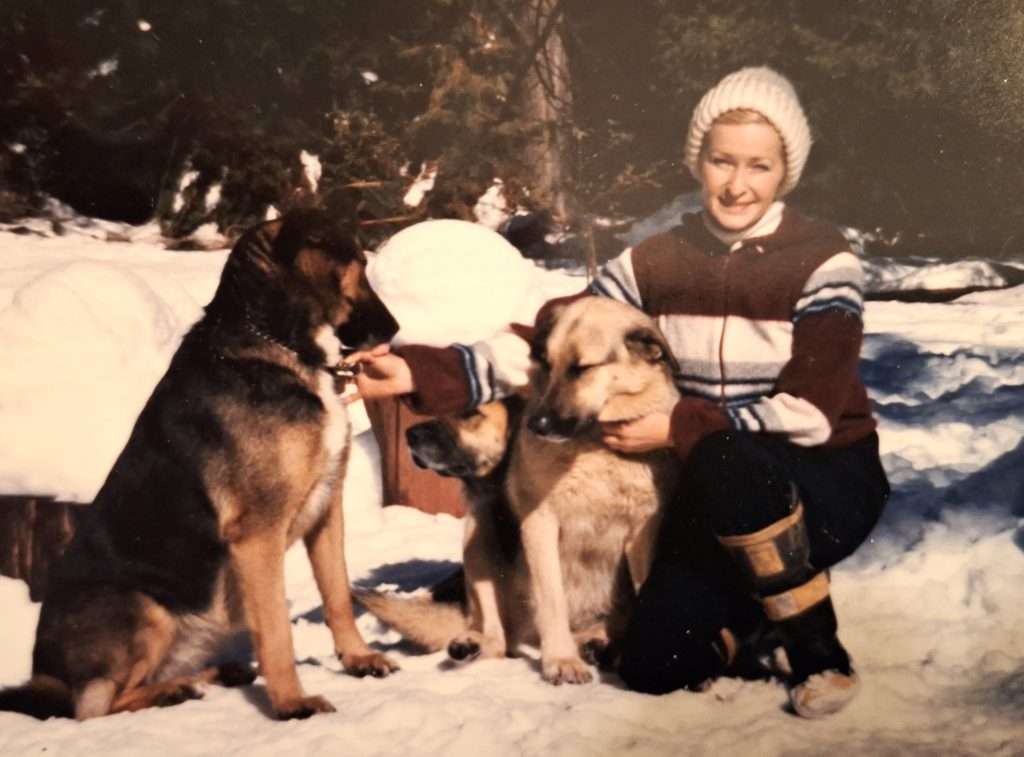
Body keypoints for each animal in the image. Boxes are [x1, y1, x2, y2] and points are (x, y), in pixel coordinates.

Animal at [0, 206, 399, 721]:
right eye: (358, 264)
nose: (394, 330)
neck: (282, 347)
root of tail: (44, 677)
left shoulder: (326, 510)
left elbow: (338, 596)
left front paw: (358, 658)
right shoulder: (258, 534)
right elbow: (276, 631)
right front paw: (291, 702)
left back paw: (212, 674)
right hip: (142, 605)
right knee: (95, 705)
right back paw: (176, 690)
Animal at [356, 295, 684, 680]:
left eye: (582, 369)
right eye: (546, 364)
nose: (410, 435)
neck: (592, 448)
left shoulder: (643, 531)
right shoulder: (540, 524)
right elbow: (552, 600)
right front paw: (561, 660)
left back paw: (600, 644)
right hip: (479, 533)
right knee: (497, 638)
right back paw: (475, 644)